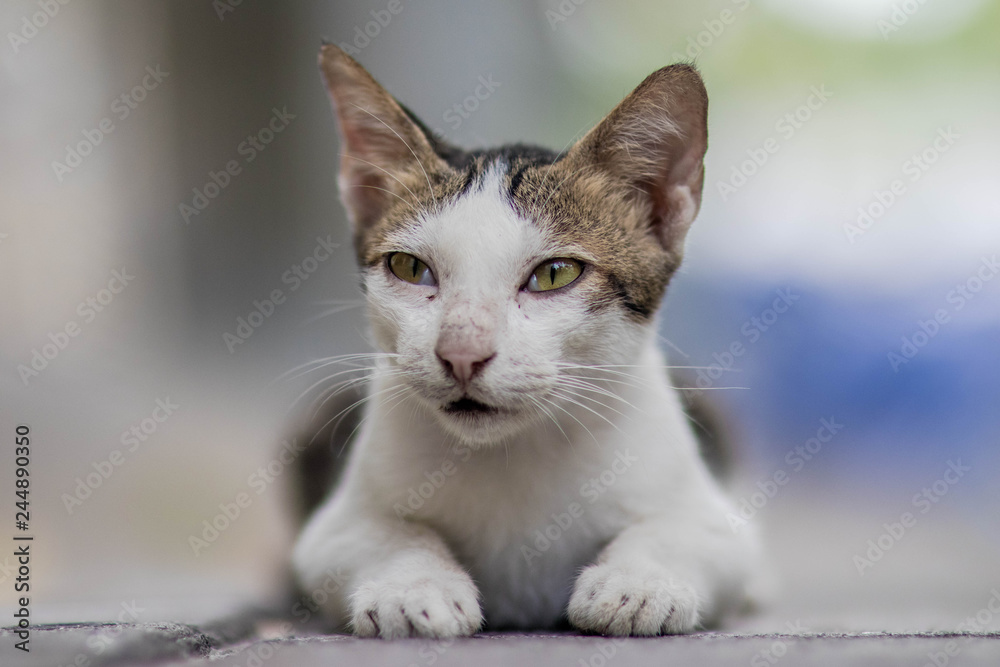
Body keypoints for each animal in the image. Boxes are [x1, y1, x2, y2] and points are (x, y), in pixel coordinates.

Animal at [292, 44, 760, 640]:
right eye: (409, 268)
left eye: (555, 274)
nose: (461, 353)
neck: (513, 451)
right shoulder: (327, 530)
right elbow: (376, 534)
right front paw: (414, 585)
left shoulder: (722, 525)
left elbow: (685, 532)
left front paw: (636, 581)